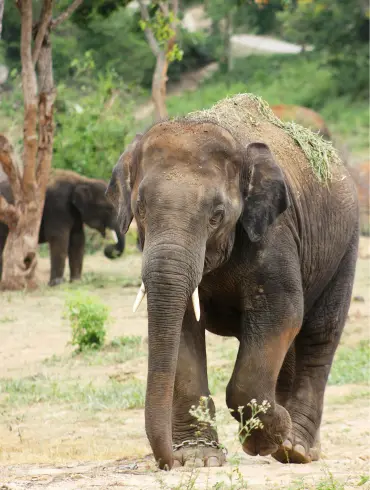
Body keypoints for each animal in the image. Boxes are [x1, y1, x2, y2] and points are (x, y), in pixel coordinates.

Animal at [107, 93, 358, 470]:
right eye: (140, 210)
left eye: (217, 215)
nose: (169, 461)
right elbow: (184, 326)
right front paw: (199, 459)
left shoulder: (275, 234)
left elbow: (282, 313)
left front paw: (268, 436)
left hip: (345, 245)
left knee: (319, 334)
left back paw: (296, 448)